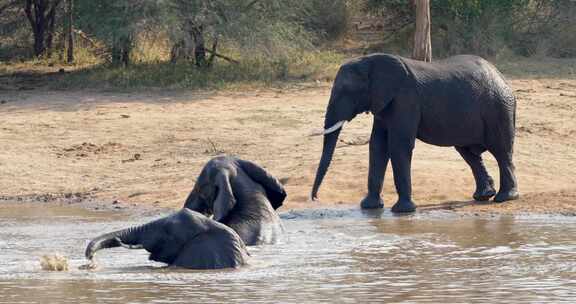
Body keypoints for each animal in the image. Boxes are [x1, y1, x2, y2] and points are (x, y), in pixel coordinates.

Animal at [312, 52, 520, 214]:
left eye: (346, 91)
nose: (314, 198)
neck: (370, 61)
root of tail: (502, 77)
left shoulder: (405, 100)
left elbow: (399, 145)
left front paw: (402, 211)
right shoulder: (384, 104)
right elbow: (378, 146)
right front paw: (369, 207)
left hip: (498, 108)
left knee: (501, 151)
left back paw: (505, 198)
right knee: (469, 154)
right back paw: (483, 196)